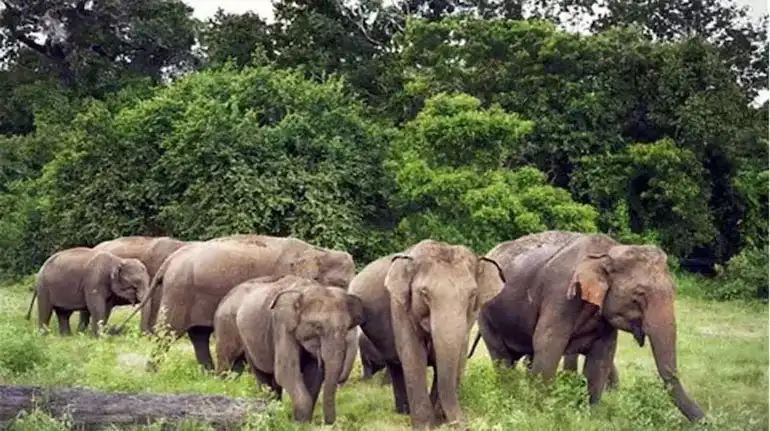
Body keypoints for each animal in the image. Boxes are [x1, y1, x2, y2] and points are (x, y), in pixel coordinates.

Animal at [112, 236, 357, 371]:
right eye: (341, 284)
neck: (317, 251)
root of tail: (171, 260)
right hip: (179, 291)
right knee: (169, 333)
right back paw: (152, 371)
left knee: (199, 335)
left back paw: (209, 373)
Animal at [226, 274, 364, 424]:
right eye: (318, 326)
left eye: (346, 328)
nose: (329, 423)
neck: (305, 290)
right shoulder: (281, 325)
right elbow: (286, 371)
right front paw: (298, 423)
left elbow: (315, 374)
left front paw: (304, 422)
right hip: (246, 339)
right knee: (263, 376)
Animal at [349, 239, 506, 429]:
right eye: (424, 293)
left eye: (473, 294)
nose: (463, 423)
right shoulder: (400, 306)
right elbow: (414, 356)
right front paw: (425, 426)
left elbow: (458, 357)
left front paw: (438, 420)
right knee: (396, 365)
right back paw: (403, 412)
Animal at [475, 231, 705, 422]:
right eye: (639, 294)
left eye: (674, 290)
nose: (706, 420)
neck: (610, 252)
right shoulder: (560, 296)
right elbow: (548, 344)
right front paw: (540, 412)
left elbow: (602, 357)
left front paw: (591, 415)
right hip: (485, 315)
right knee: (502, 359)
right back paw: (508, 395)